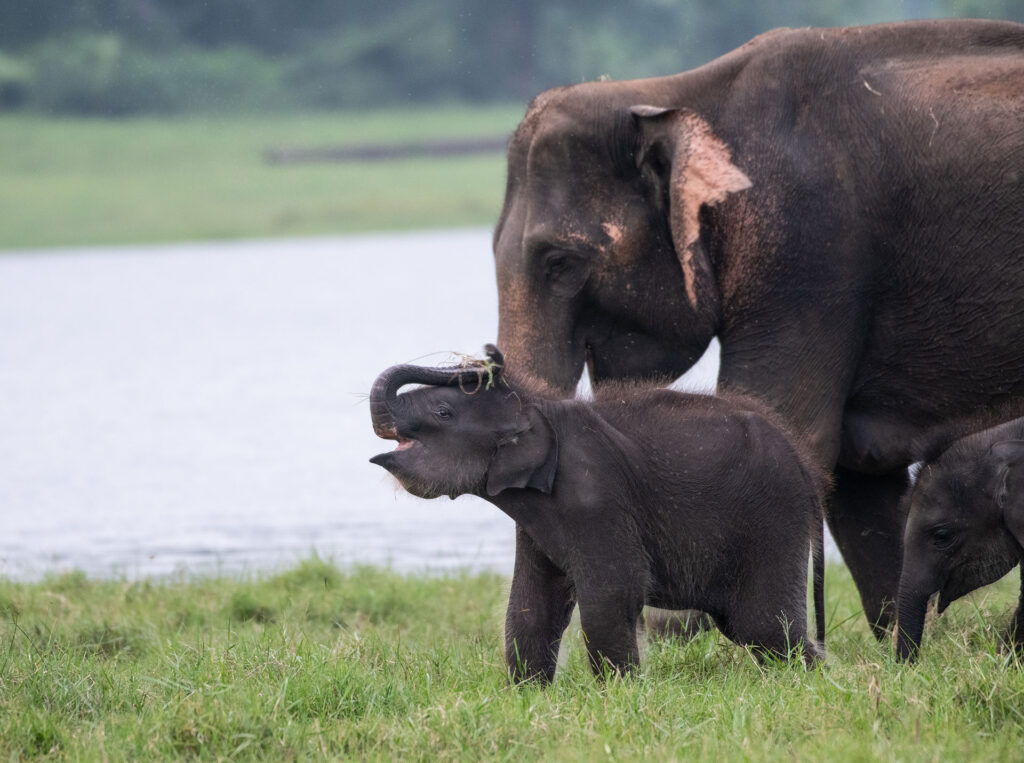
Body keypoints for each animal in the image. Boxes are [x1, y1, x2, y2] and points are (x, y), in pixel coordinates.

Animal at [368, 346, 823, 680]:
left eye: (442, 413)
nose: (486, 356)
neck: (539, 408)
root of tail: (807, 467)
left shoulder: (597, 499)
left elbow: (612, 592)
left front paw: (620, 694)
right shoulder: (537, 520)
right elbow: (532, 602)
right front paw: (528, 694)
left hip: (773, 520)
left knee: (762, 625)